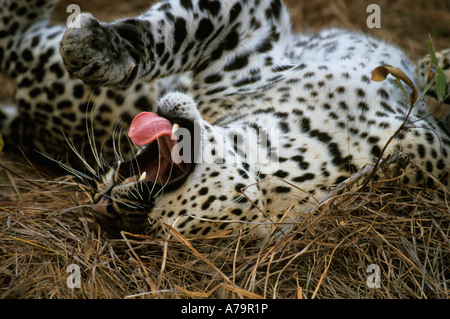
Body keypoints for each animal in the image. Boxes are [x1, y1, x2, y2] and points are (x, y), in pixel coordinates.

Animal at [2, 0, 450, 241]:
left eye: (143, 221)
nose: (104, 204)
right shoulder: (246, 39)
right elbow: (179, 26)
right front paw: (98, 49)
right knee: (12, 39)